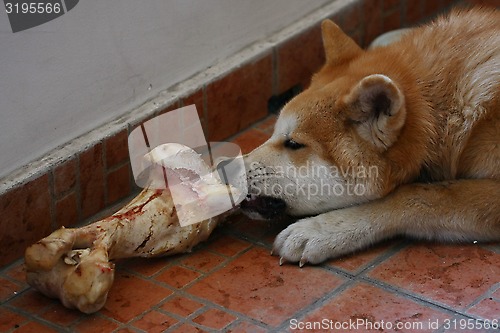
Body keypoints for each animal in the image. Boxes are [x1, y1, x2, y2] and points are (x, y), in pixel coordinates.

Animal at [240, 7, 498, 266]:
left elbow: (418, 194)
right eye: (273, 132)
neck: (451, 115)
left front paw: (321, 230)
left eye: (294, 143)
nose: (230, 169)